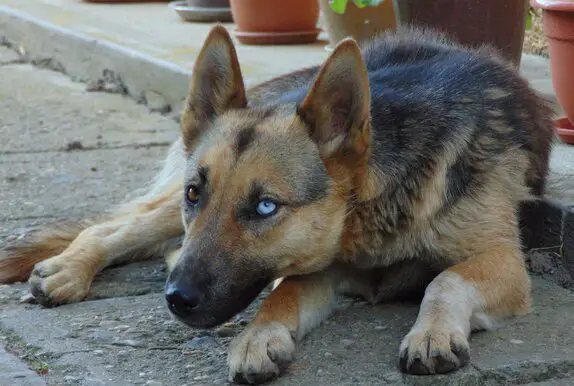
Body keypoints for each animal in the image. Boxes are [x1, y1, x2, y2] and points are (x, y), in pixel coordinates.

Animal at [0, 24, 560, 382]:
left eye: (266, 208)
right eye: (196, 194)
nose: (176, 299)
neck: (371, 211)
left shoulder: (502, 260)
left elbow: (445, 280)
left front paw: (433, 332)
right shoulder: (317, 267)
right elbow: (284, 291)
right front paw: (257, 336)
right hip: (164, 215)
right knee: (112, 228)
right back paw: (68, 269)